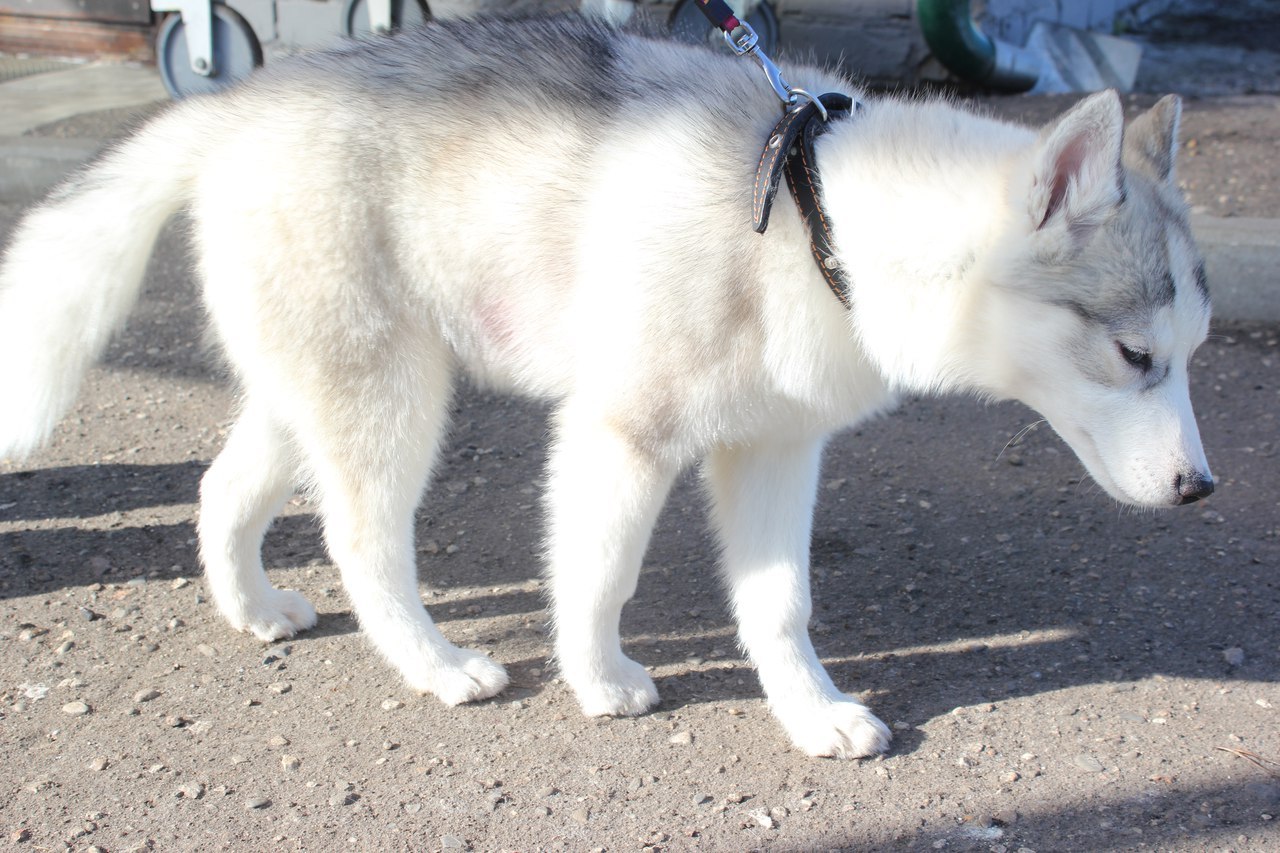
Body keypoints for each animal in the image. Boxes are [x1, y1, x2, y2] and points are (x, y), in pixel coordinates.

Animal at [0, 16, 1208, 753]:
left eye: (1191, 351)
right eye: (1133, 355)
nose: (1201, 490)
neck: (811, 213)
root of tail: (243, 98)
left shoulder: (776, 450)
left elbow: (778, 601)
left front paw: (809, 711)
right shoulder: (620, 436)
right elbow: (599, 575)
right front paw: (597, 679)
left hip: (311, 393)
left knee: (221, 491)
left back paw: (252, 607)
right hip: (391, 400)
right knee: (362, 543)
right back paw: (434, 664)